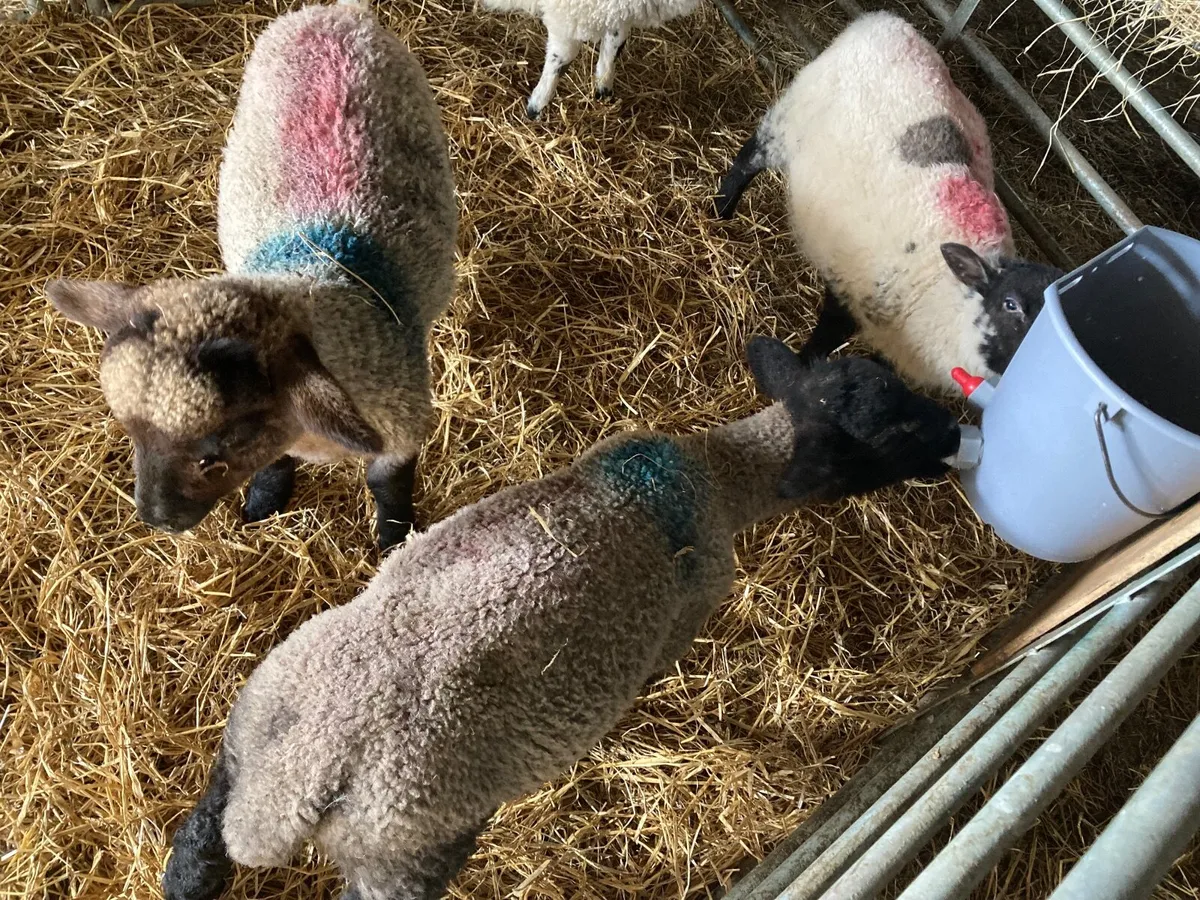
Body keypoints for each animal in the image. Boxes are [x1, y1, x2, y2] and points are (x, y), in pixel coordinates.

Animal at [46, 1, 456, 551]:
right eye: (131, 434)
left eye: (215, 448)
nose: (157, 519)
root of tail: (331, 14)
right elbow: (276, 465)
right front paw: (265, 500)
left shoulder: (401, 420)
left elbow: (387, 483)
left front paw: (394, 539)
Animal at [161, 342, 960, 900]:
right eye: (898, 427)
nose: (956, 429)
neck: (709, 476)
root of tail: (295, 787)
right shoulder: (689, 610)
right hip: (407, 850)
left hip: (247, 730)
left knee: (196, 854)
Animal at [479, 0, 701, 118]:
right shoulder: (570, 11)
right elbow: (562, 56)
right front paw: (537, 104)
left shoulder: (618, 10)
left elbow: (614, 43)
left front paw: (603, 89)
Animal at [714, 12, 1063, 395]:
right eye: (1011, 304)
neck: (950, 297)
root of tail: (887, 22)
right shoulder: (851, 290)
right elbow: (823, 340)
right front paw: (799, 374)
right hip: (791, 117)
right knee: (749, 159)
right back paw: (719, 210)